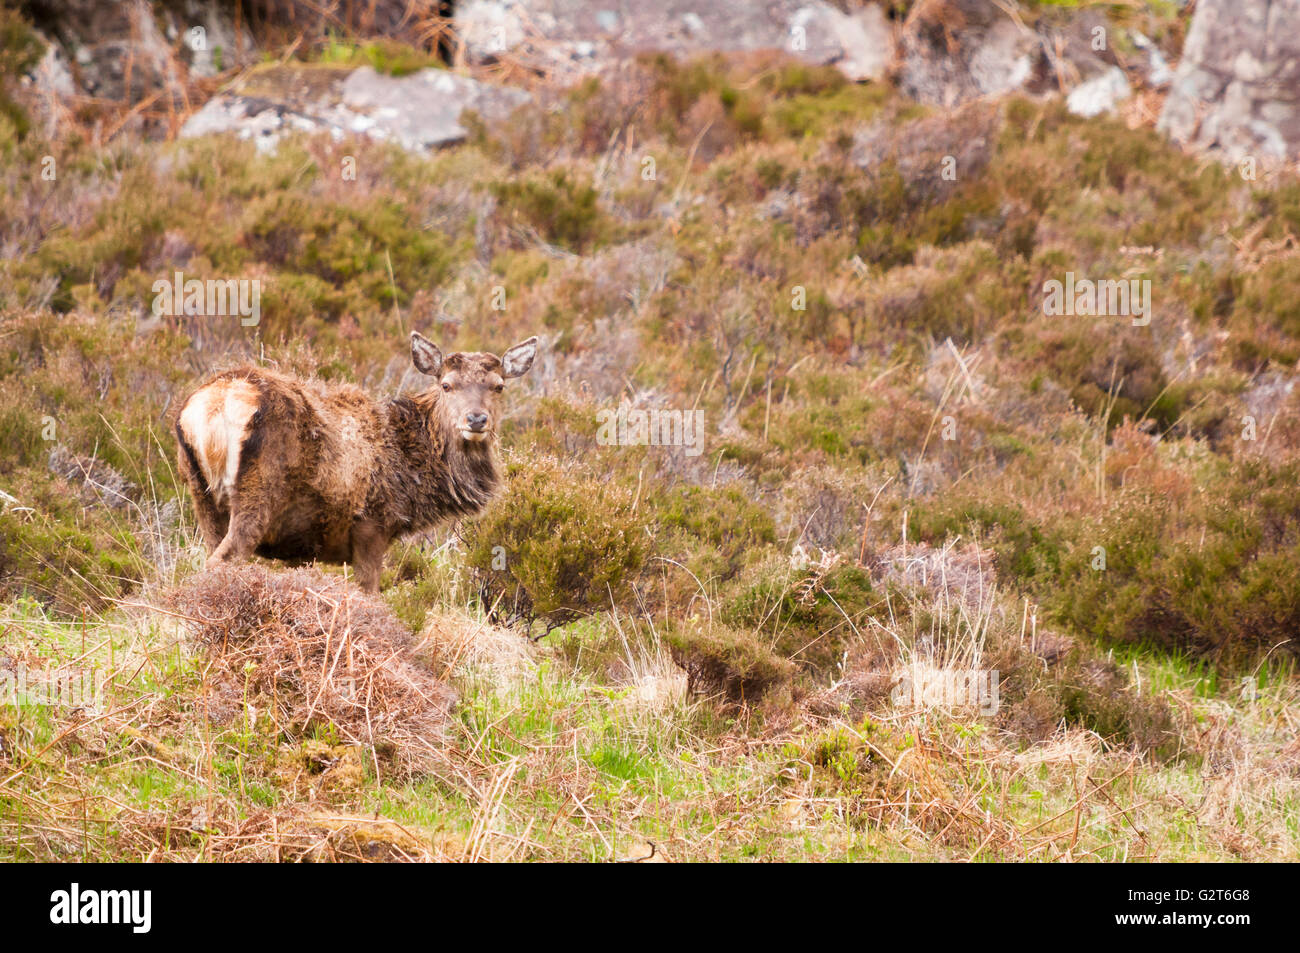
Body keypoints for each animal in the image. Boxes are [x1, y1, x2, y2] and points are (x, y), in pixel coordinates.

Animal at [174, 332, 538, 587]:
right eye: (447, 385)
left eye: (499, 386)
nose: (476, 419)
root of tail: (211, 406)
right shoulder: (372, 526)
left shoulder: (303, 548)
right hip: (258, 490)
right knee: (220, 561)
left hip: (201, 496)